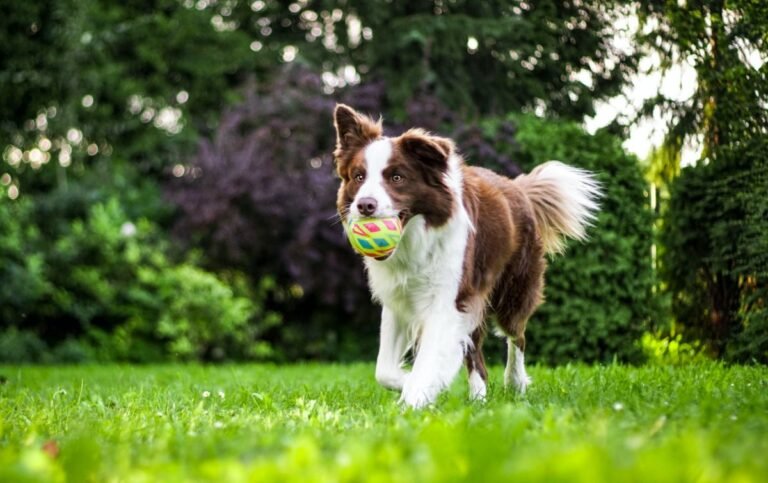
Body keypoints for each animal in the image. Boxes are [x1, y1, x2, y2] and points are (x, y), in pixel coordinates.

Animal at [332, 105, 604, 408]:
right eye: (358, 177)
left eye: (396, 178)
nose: (365, 205)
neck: (415, 240)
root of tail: (518, 187)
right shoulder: (399, 299)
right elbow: (384, 370)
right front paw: (416, 384)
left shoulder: (448, 299)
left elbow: (429, 358)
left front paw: (415, 397)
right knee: (476, 355)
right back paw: (478, 398)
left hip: (513, 290)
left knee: (517, 336)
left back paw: (515, 382)